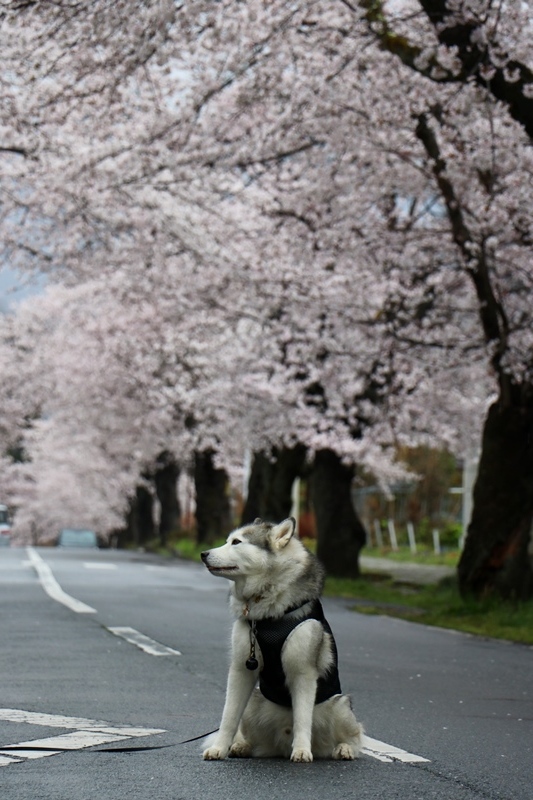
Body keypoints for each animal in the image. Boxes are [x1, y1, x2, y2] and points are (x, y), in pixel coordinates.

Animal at [200, 516, 362, 760]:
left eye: (236, 542)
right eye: (227, 540)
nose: (203, 554)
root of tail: (280, 747)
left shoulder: (303, 672)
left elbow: (302, 717)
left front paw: (302, 750)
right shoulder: (240, 670)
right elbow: (228, 717)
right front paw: (219, 748)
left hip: (340, 705)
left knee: (356, 736)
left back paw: (343, 748)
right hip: (254, 701)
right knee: (247, 733)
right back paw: (241, 746)